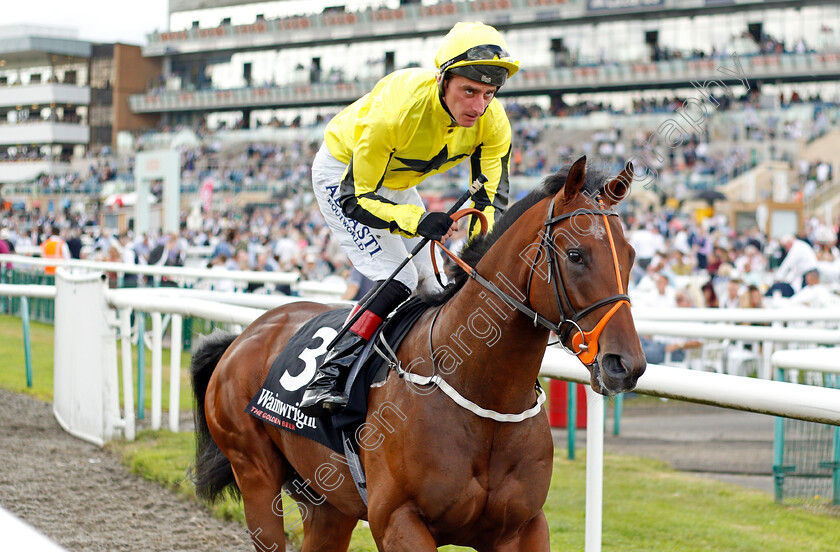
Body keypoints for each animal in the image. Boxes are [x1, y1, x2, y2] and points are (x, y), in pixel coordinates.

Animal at [194, 156, 648, 552]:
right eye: (576, 255)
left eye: (631, 257)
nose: (625, 365)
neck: (483, 395)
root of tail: (244, 335)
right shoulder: (398, 521)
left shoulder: (523, 527)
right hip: (255, 476)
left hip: (327, 502)